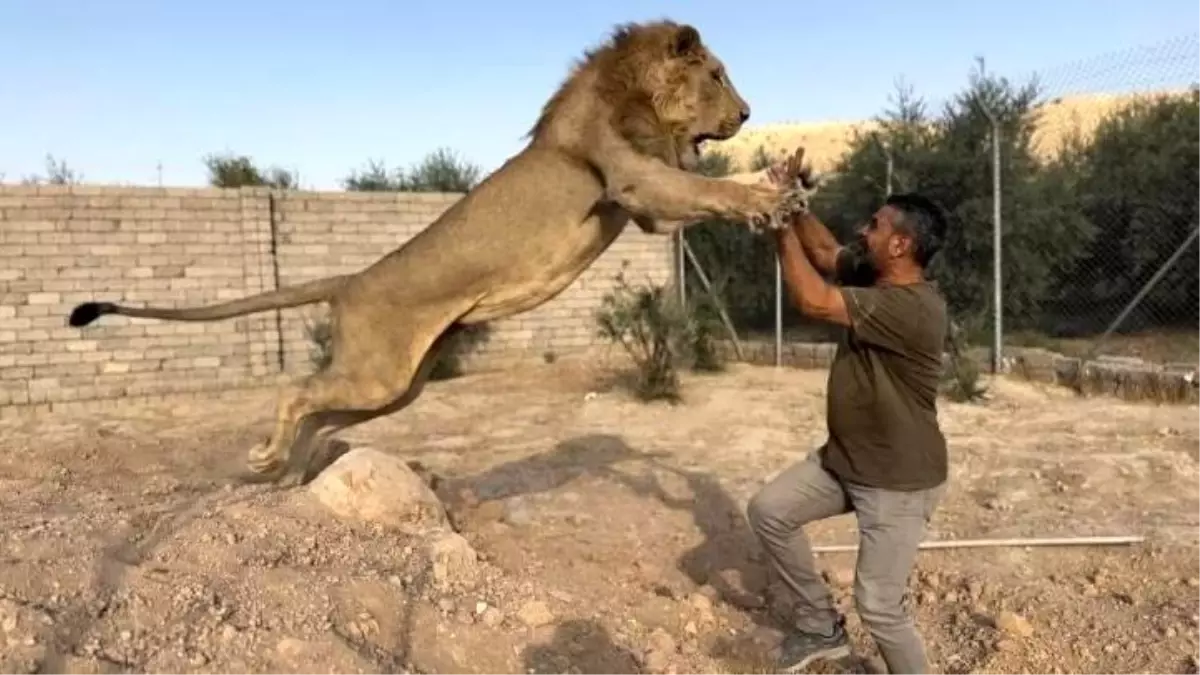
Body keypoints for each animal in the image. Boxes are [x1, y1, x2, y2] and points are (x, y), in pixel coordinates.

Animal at [70, 19, 792, 482]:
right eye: (717, 75)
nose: (748, 114)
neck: (630, 89)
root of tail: (348, 279)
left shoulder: (646, 214)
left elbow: (706, 189)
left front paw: (779, 177)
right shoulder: (636, 182)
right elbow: (708, 188)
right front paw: (771, 198)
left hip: (397, 386)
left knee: (322, 416)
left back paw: (293, 472)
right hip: (378, 373)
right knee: (296, 391)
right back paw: (268, 459)